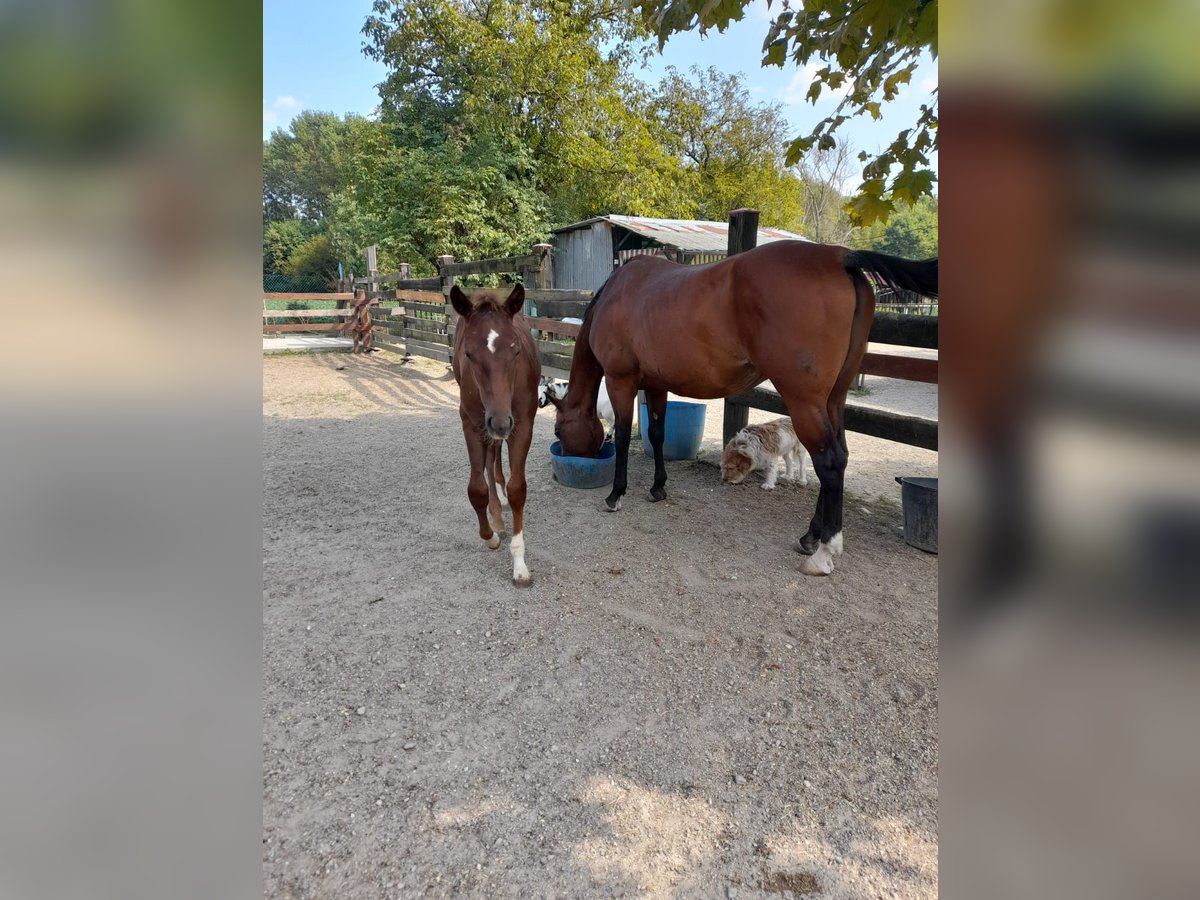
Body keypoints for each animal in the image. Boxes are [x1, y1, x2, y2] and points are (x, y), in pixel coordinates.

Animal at [451, 285, 542, 588]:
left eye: (516, 351)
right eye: (468, 354)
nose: (500, 422)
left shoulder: (522, 424)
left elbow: (517, 489)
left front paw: (520, 564)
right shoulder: (471, 425)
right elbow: (476, 489)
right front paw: (490, 535)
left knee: (495, 454)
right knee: (490, 459)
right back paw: (496, 514)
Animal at [549, 240, 936, 578]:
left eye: (557, 428)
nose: (565, 458)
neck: (620, 293)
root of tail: (841, 256)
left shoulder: (621, 381)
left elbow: (624, 437)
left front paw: (616, 494)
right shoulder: (656, 385)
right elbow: (656, 434)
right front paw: (658, 487)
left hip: (805, 401)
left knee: (828, 462)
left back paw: (824, 551)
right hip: (833, 399)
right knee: (838, 458)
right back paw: (810, 537)